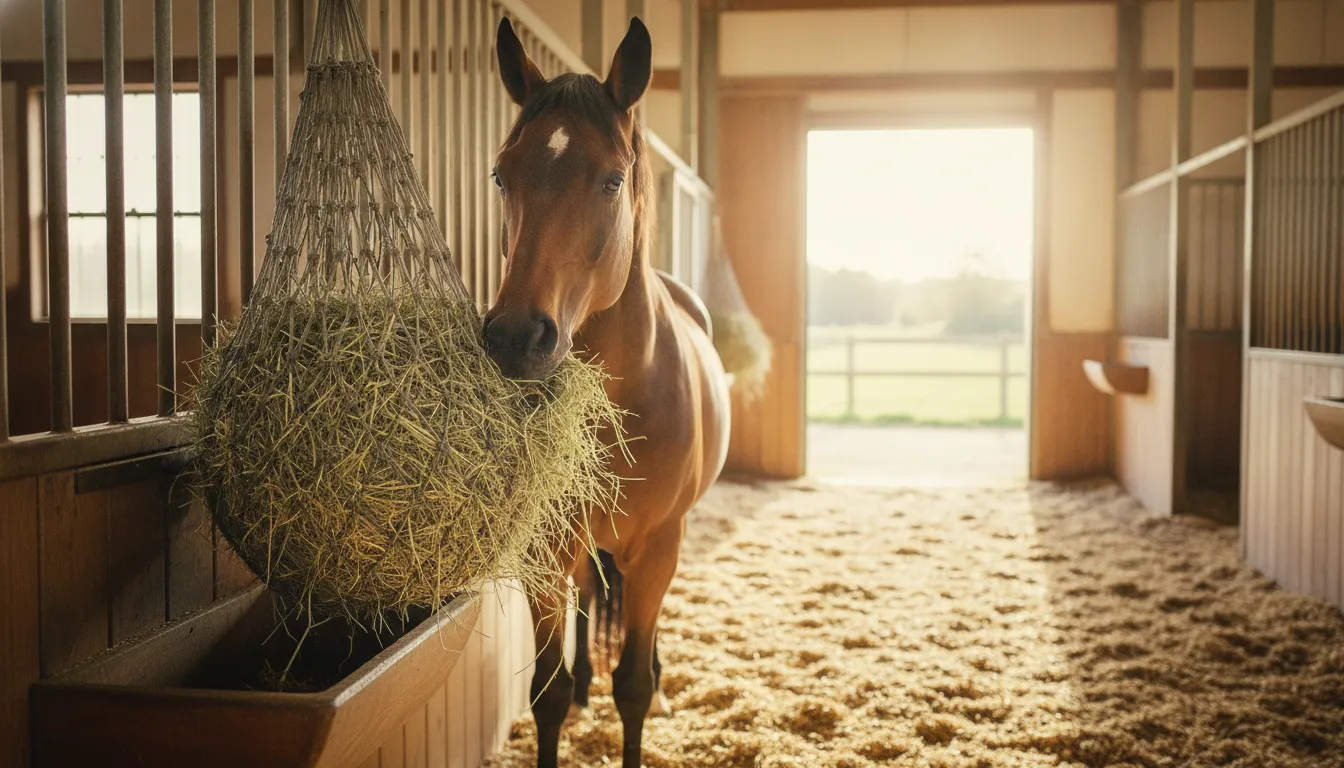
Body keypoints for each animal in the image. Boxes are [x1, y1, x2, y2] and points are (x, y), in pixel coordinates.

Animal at [485, 16, 732, 768]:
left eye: (613, 179)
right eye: (502, 172)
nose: (516, 336)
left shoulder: (659, 552)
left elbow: (633, 684)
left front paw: (644, 689)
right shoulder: (544, 549)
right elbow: (548, 690)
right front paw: (576, 692)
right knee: (591, 600)